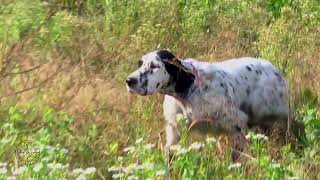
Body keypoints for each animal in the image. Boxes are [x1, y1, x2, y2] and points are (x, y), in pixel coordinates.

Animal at [126, 49, 288, 160]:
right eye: (140, 64)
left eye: (154, 66)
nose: (129, 81)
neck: (188, 87)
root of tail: (274, 69)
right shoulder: (174, 130)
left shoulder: (237, 123)